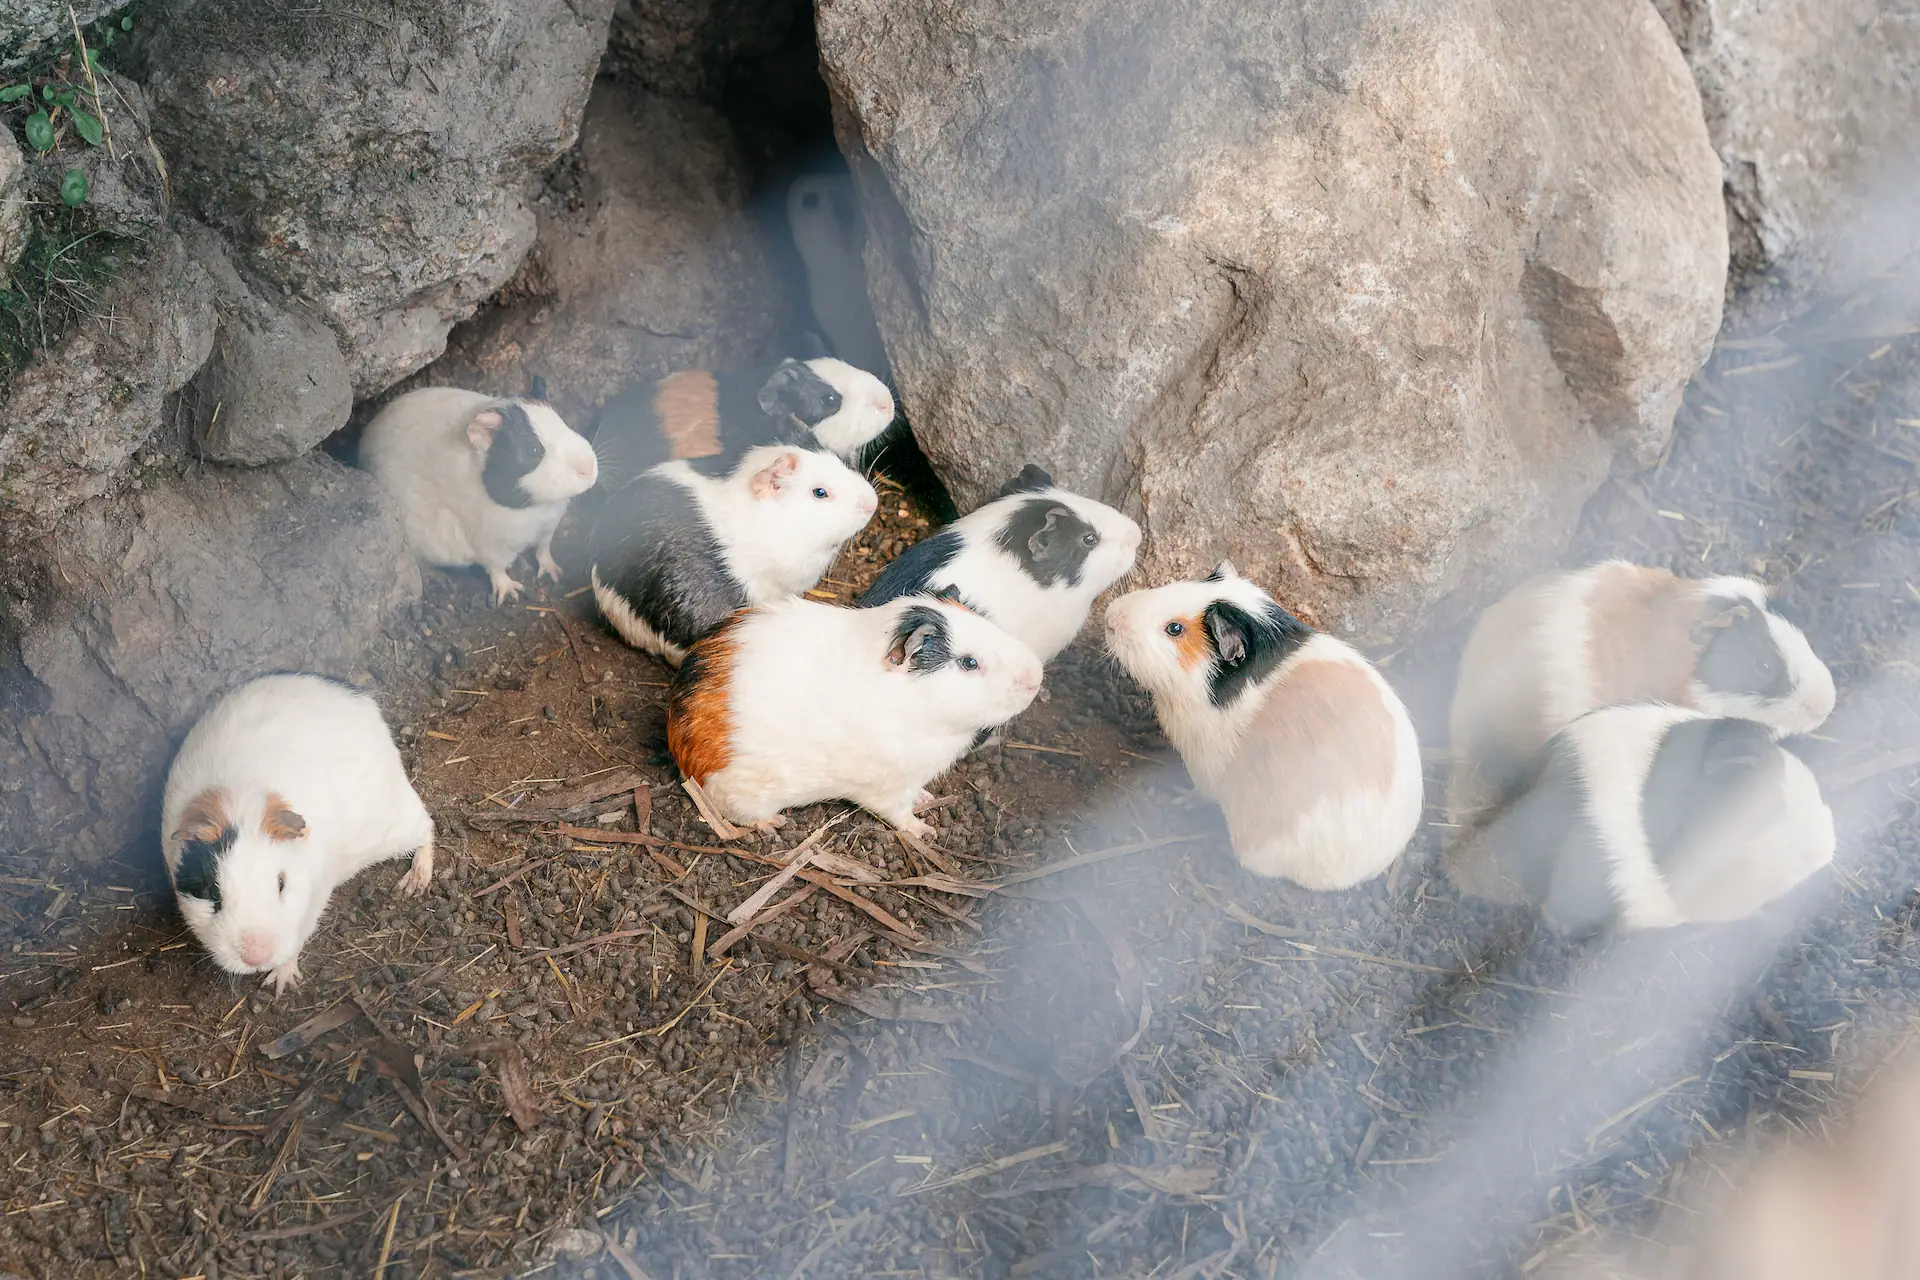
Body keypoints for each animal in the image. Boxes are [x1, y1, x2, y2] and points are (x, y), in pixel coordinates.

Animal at [160, 673, 434, 994]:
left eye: (281, 883)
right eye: (213, 893)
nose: (257, 956)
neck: (239, 809)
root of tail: (356, 696)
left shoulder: (315, 898)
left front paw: (280, 985)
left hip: (395, 826)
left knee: (427, 829)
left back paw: (413, 884)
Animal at [360, 386, 599, 604]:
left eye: (564, 423)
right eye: (533, 450)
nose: (589, 469)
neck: (538, 508)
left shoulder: (547, 529)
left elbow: (543, 552)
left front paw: (556, 573)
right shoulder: (494, 546)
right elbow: (497, 570)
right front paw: (511, 593)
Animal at [667, 595, 1043, 837]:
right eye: (969, 662)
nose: (1036, 677)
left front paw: (927, 800)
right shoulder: (891, 789)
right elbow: (902, 814)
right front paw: (925, 831)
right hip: (740, 796)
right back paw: (774, 825)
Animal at [1104, 562, 1422, 889]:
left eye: (1175, 629)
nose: (1109, 617)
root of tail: (1371, 866)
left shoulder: (1202, 767)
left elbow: (1199, 792)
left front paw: (1181, 799)